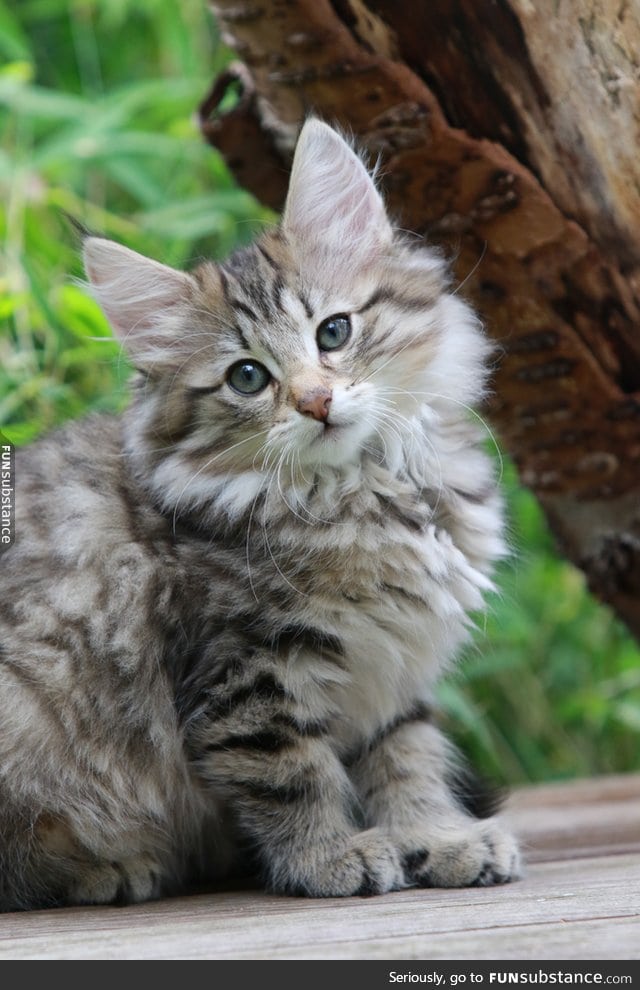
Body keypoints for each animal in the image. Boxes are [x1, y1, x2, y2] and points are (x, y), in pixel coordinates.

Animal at [0, 120, 520, 912]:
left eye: (333, 332)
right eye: (247, 377)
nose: (315, 401)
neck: (365, 492)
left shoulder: (393, 673)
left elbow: (409, 758)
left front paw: (441, 838)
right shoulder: (248, 671)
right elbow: (292, 774)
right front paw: (330, 856)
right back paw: (107, 869)